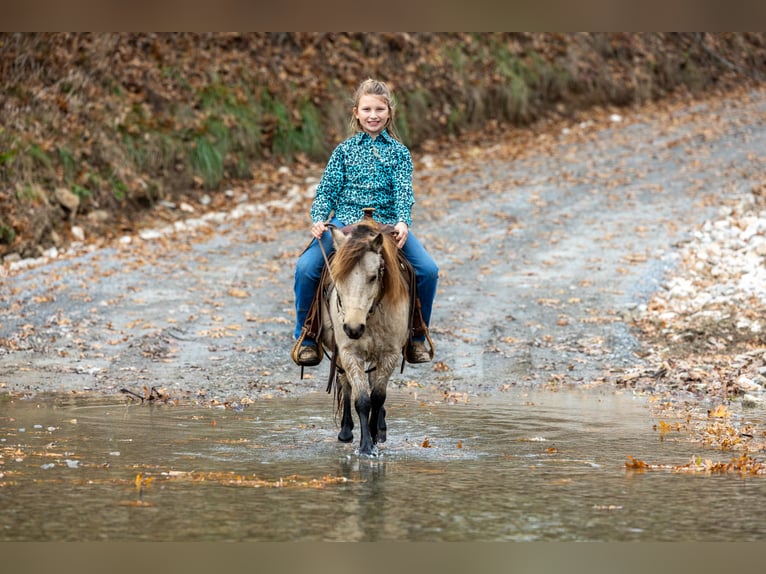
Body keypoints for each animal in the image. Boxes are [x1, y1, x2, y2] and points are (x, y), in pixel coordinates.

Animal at [320, 217, 410, 456]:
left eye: (373, 277)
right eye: (338, 276)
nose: (353, 328)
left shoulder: (390, 353)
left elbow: (377, 397)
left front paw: (375, 438)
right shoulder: (349, 352)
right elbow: (361, 399)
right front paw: (366, 446)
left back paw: (381, 428)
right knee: (345, 383)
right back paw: (345, 431)